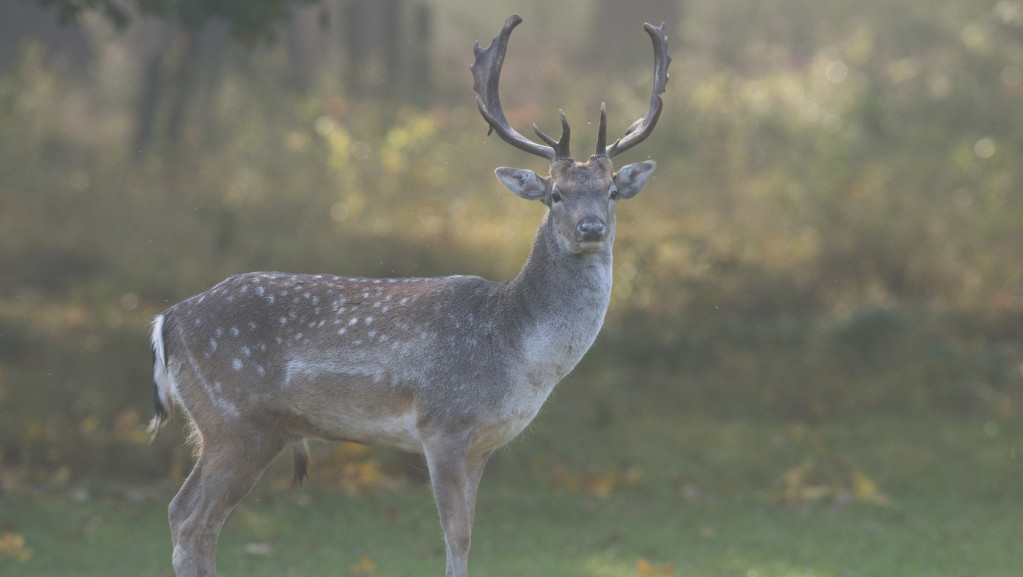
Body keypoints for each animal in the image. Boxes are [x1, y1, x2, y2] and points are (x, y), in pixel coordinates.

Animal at [148, 13, 666, 577]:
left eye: (612, 192)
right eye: (555, 194)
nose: (591, 228)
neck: (517, 349)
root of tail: (166, 321)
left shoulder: (483, 444)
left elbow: (470, 532)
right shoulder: (442, 423)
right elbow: (455, 534)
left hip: (253, 431)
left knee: (199, 520)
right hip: (231, 418)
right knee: (186, 516)